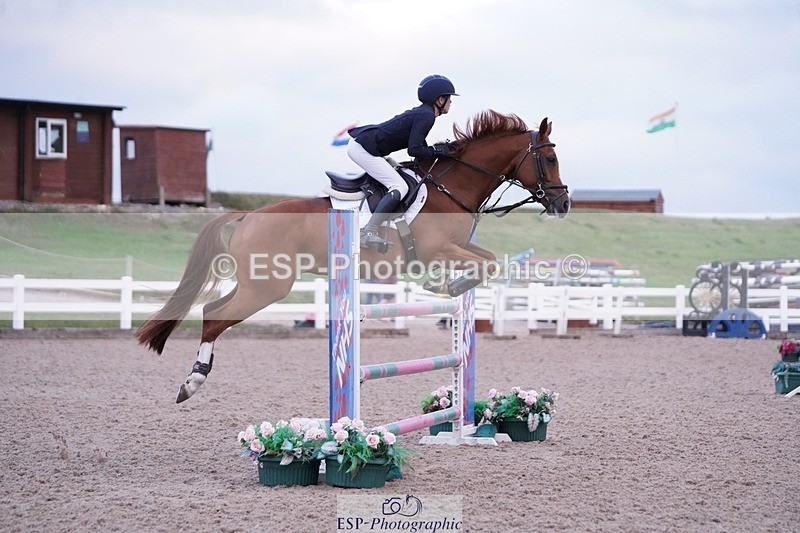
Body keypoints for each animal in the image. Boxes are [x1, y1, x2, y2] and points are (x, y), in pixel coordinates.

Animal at [135, 110, 570, 403]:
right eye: (549, 159)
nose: (564, 203)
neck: (452, 187)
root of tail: (247, 215)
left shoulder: (458, 246)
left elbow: (490, 259)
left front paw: (447, 283)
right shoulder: (438, 249)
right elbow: (484, 264)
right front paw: (448, 284)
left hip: (258, 284)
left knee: (212, 310)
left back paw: (192, 380)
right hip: (268, 287)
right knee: (214, 317)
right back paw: (192, 383)